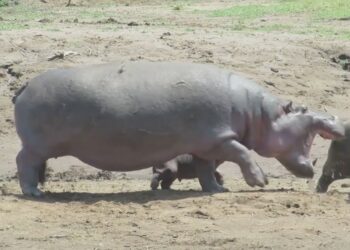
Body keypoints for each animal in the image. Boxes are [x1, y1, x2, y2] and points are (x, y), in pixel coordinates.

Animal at [13, 60, 344, 195]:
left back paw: (40, 189)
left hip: (41, 146)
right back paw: (34, 193)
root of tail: (25, 85)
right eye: (303, 111)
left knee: (32, 164)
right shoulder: (219, 138)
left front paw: (218, 189)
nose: (335, 120)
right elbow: (242, 153)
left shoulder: (206, 145)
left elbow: (206, 170)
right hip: (36, 145)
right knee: (23, 161)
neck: (260, 113)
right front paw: (260, 181)